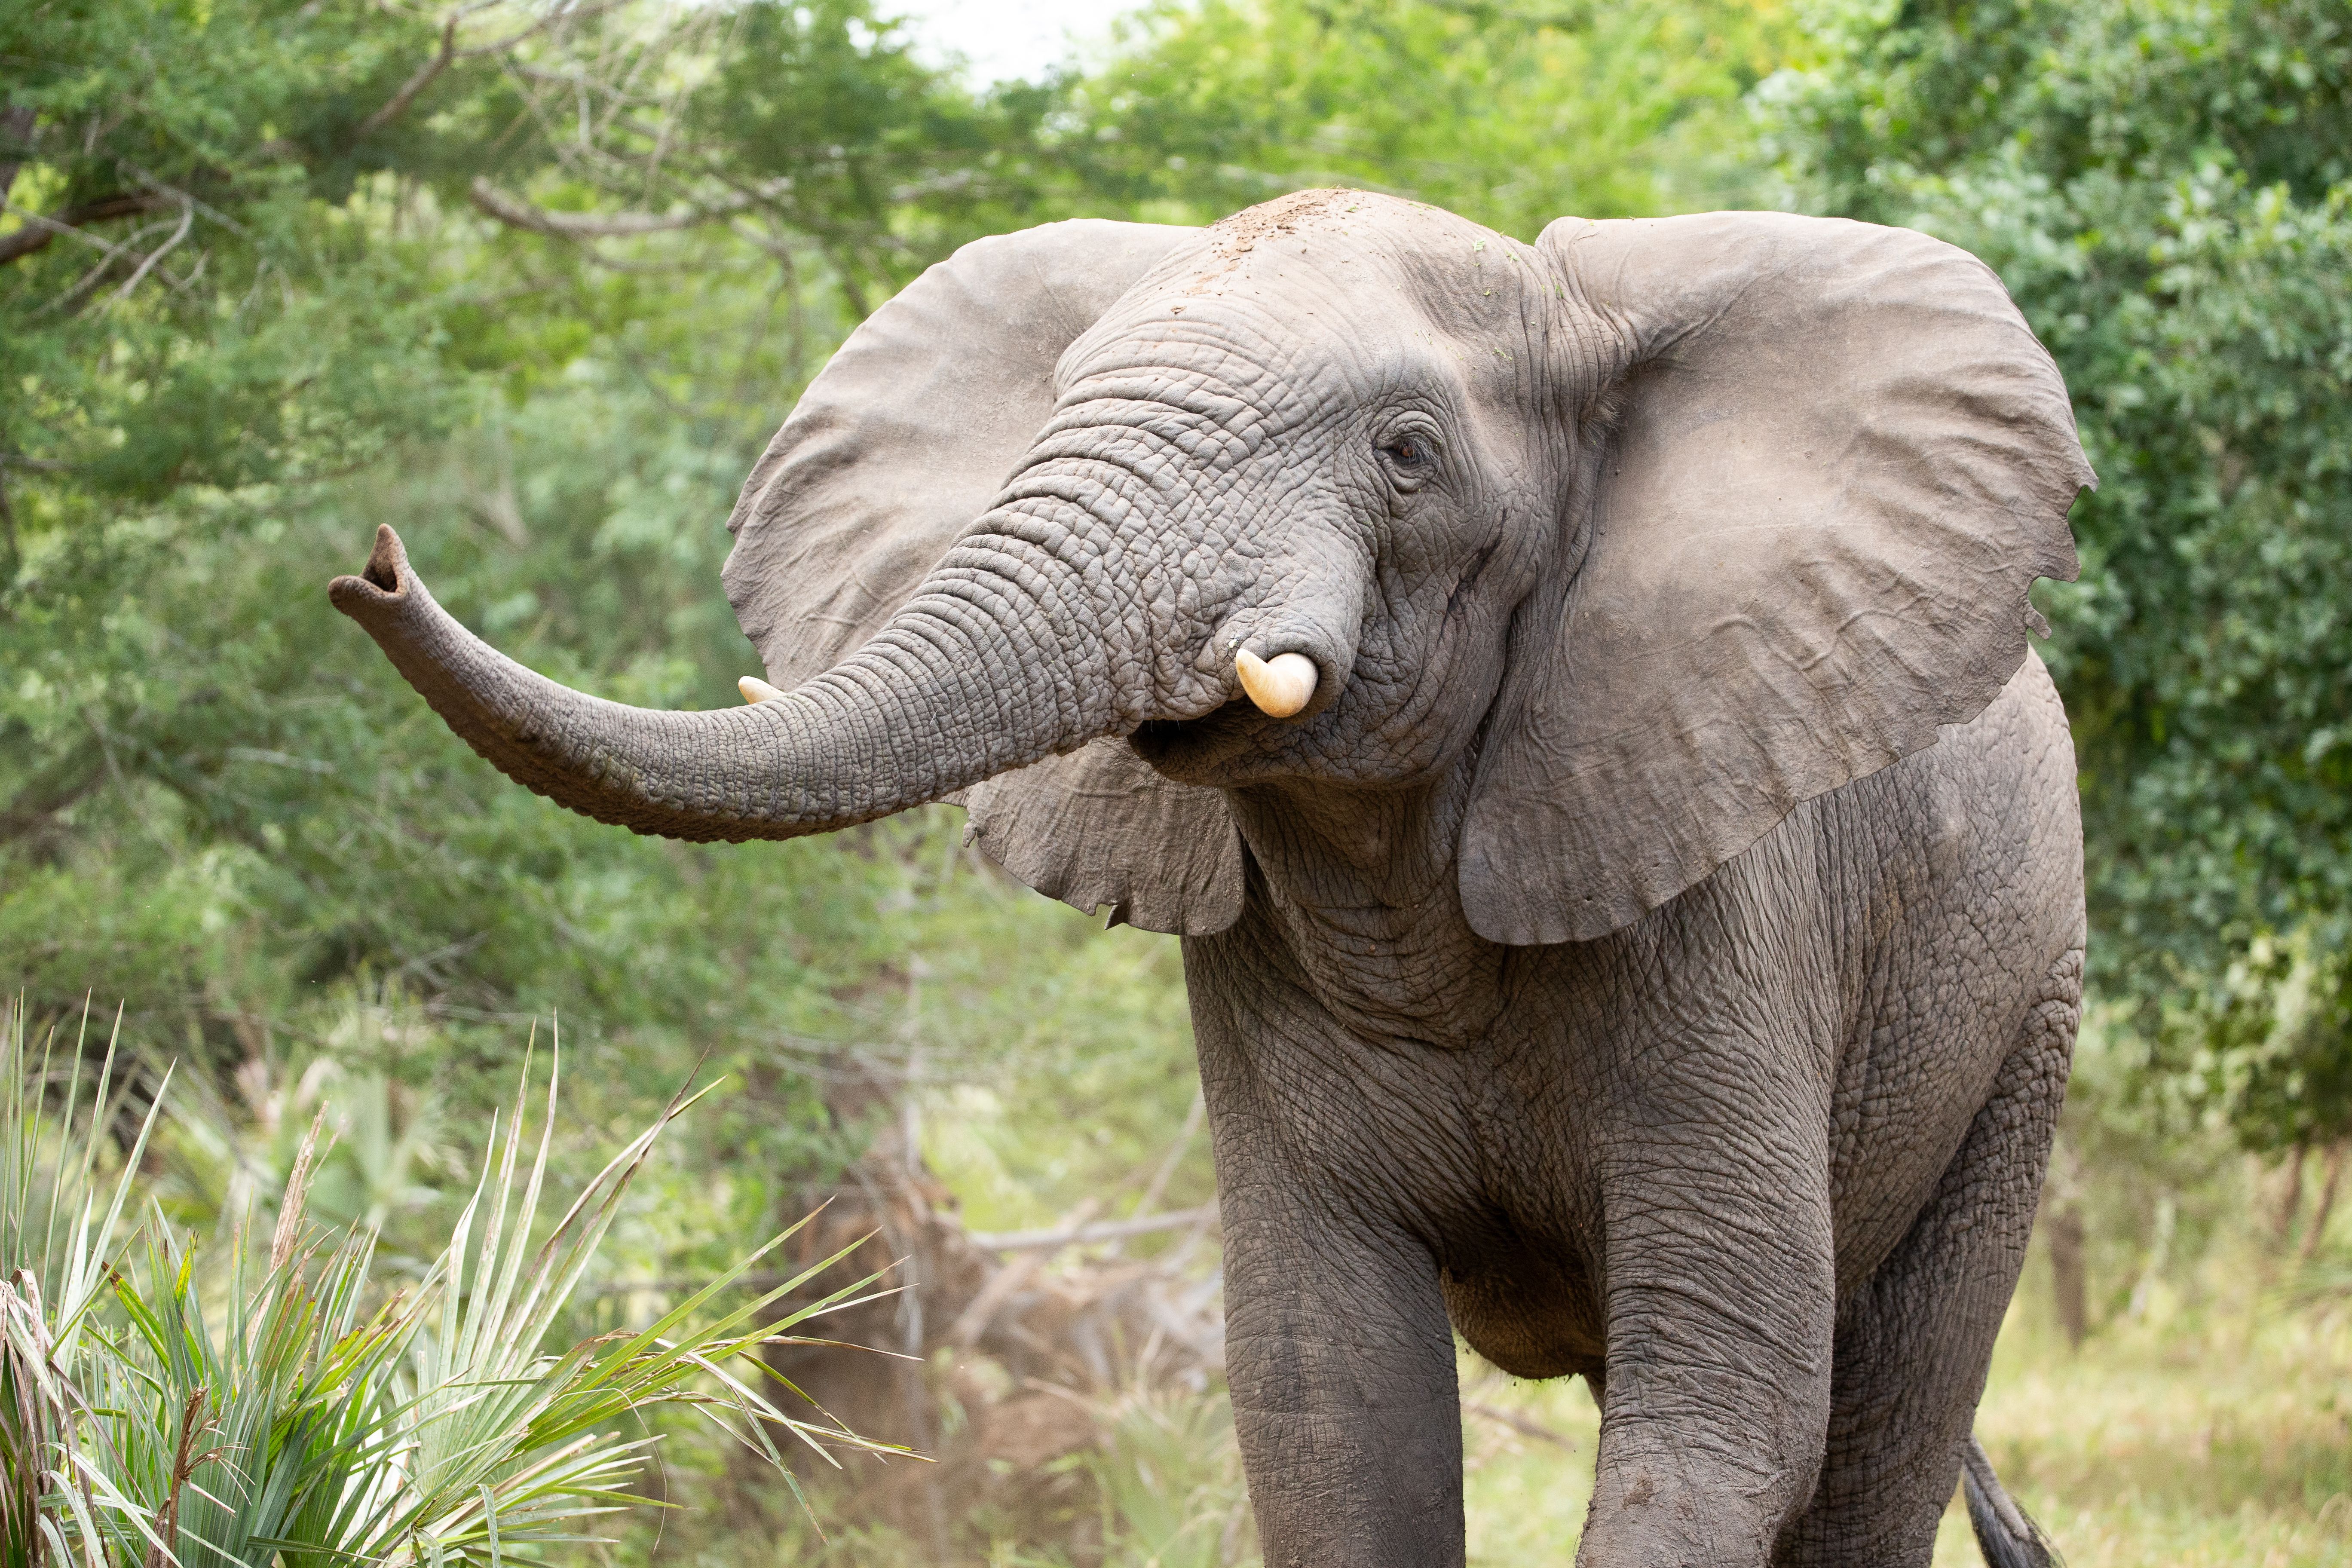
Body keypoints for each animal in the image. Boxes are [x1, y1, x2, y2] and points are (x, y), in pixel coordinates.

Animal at [330, 188, 2092, 1567]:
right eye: (1056, 410)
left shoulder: (1718, 888)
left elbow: (1723, 1402)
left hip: (2025, 1018)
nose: (376, 566)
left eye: (1407, 450)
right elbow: (1331, 1400)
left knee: (1878, 1429)